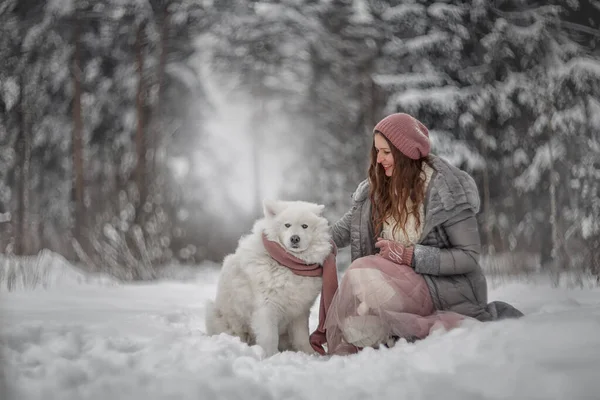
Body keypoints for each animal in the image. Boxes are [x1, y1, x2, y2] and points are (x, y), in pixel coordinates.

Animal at [206, 199, 332, 356]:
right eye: (287, 225)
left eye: (305, 226)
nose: (295, 238)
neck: (289, 264)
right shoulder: (267, 307)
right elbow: (269, 336)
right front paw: (271, 355)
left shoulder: (299, 311)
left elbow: (302, 336)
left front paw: (310, 353)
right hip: (220, 315)